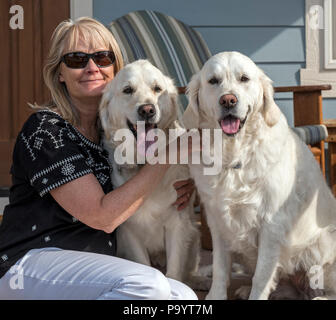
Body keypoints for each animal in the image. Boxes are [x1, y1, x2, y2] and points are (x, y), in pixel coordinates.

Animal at [98, 59, 201, 284]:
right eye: (127, 90)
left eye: (157, 89)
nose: (147, 110)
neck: (146, 163)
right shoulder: (128, 231)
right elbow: (143, 264)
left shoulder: (177, 224)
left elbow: (174, 272)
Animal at [182, 51, 336, 298]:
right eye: (213, 81)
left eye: (244, 78)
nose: (228, 100)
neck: (234, 155)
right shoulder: (217, 220)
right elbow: (220, 268)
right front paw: (217, 294)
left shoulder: (271, 224)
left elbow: (262, 276)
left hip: (323, 244)